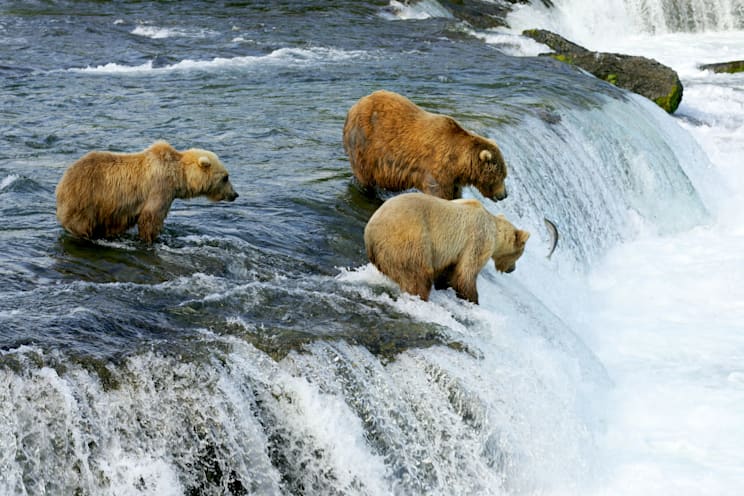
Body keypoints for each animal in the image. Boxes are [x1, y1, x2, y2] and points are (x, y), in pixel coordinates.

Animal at [55, 140, 238, 243]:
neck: (179, 176)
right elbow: (150, 217)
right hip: (87, 200)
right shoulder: (160, 188)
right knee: (80, 224)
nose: (235, 194)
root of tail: (62, 182)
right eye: (226, 177)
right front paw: (151, 240)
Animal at [343, 89, 508, 201]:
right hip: (364, 143)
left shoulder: (453, 179)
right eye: (501, 176)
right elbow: (439, 193)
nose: (504, 195)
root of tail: (353, 107)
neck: (457, 162)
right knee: (364, 175)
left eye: (505, 175)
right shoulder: (436, 169)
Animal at [364, 192, 529, 304]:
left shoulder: (454, 251)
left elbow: (449, 270)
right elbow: (466, 274)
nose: (512, 269)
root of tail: (369, 232)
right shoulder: (478, 238)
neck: (495, 230)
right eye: (519, 255)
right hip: (408, 239)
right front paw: (473, 299)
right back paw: (421, 296)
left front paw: (444, 285)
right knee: (418, 275)